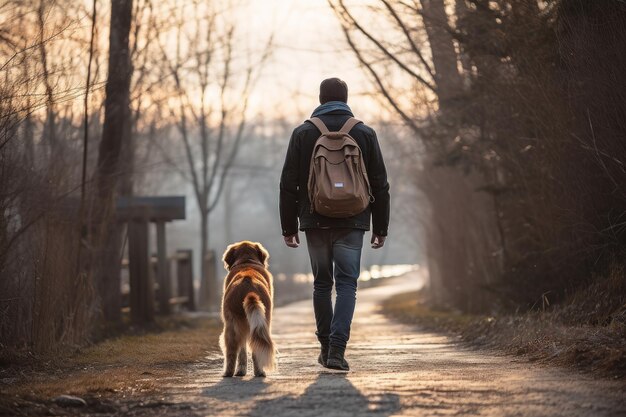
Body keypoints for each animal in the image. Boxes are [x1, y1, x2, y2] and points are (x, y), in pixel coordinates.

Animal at [221, 239, 276, 376]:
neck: (246, 262)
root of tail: (249, 288)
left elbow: (242, 350)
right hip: (262, 320)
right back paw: (259, 372)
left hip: (232, 324)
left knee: (232, 351)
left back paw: (229, 372)